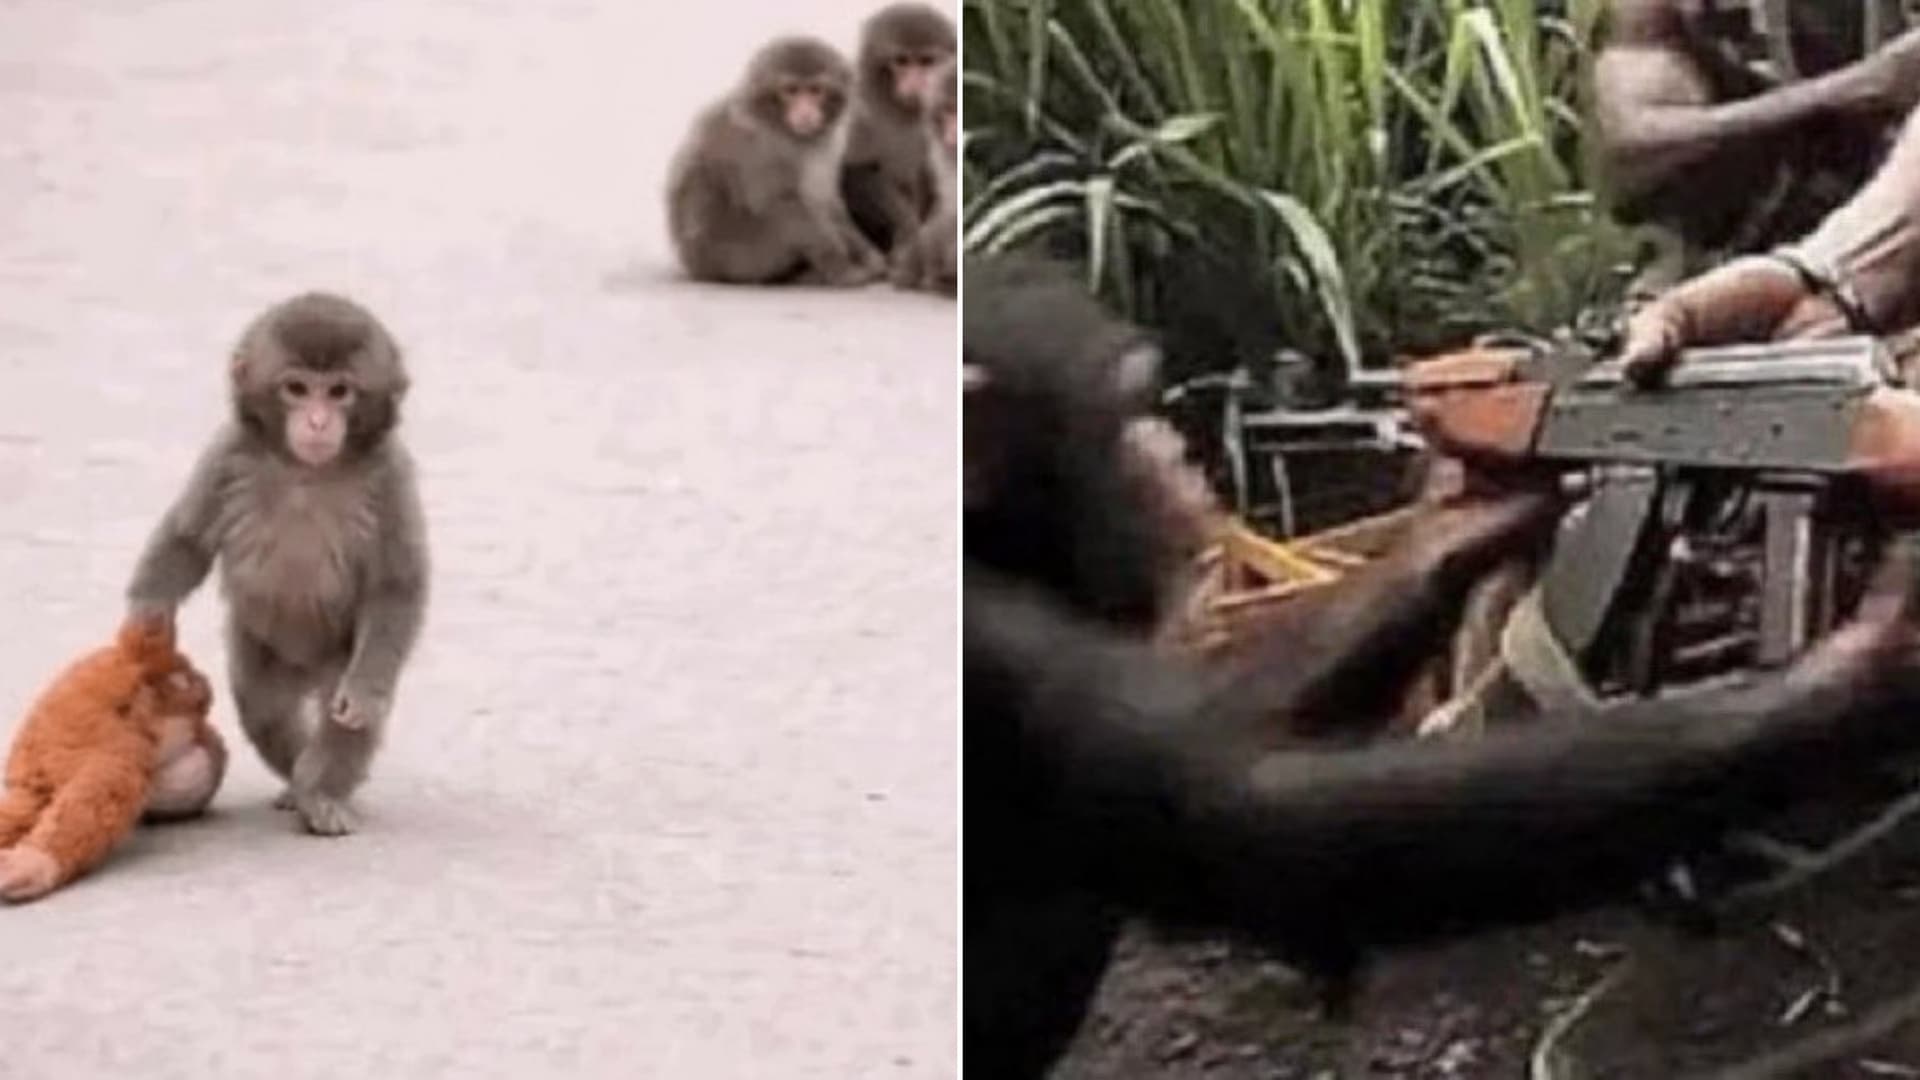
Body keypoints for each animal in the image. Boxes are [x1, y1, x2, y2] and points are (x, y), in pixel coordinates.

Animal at [126, 292, 430, 838]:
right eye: (297, 389)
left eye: (339, 392)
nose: (317, 422)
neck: (308, 471)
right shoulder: (227, 453)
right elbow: (187, 538)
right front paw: (148, 611)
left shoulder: (392, 475)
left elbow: (396, 587)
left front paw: (363, 695)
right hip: (263, 651)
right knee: (263, 708)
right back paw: (296, 777)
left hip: (337, 656)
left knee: (340, 716)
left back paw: (321, 791)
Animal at [667, 36, 886, 287]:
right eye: (791, 90)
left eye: (816, 90)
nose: (805, 111)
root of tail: (698, 269)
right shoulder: (760, 146)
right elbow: (775, 201)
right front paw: (841, 266)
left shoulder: (825, 146)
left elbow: (827, 201)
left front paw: (868, 254)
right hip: (742, 259)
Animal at [841, 3, 956, 259]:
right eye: (901, 61)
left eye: (926, 61)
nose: (915, 83)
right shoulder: (859, 108)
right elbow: (854, 170)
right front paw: (909, 230)